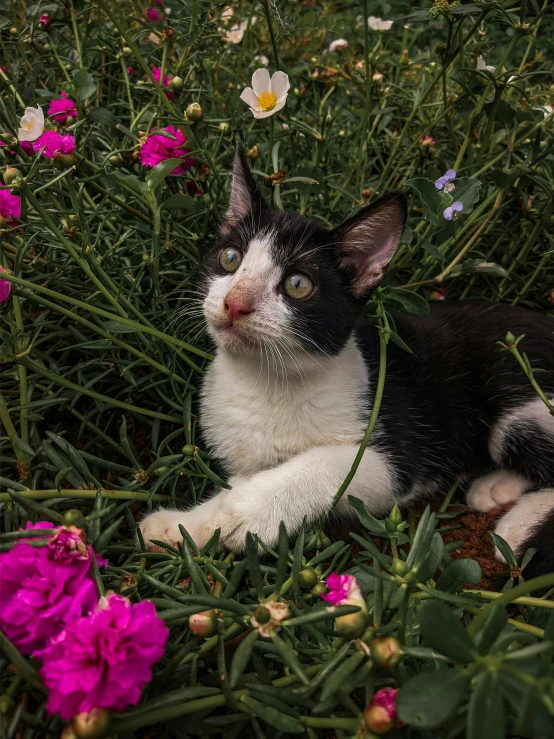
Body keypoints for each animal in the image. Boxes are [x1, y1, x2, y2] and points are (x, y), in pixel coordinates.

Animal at [141, 147, 552, 580]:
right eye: (230, 257)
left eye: (298, 285)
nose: (235, 303)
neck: (268, 379)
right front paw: (183, 526)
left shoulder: (396, 453)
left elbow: (325, 465)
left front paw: (235, 518)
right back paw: (497, 488)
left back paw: (517, 526)